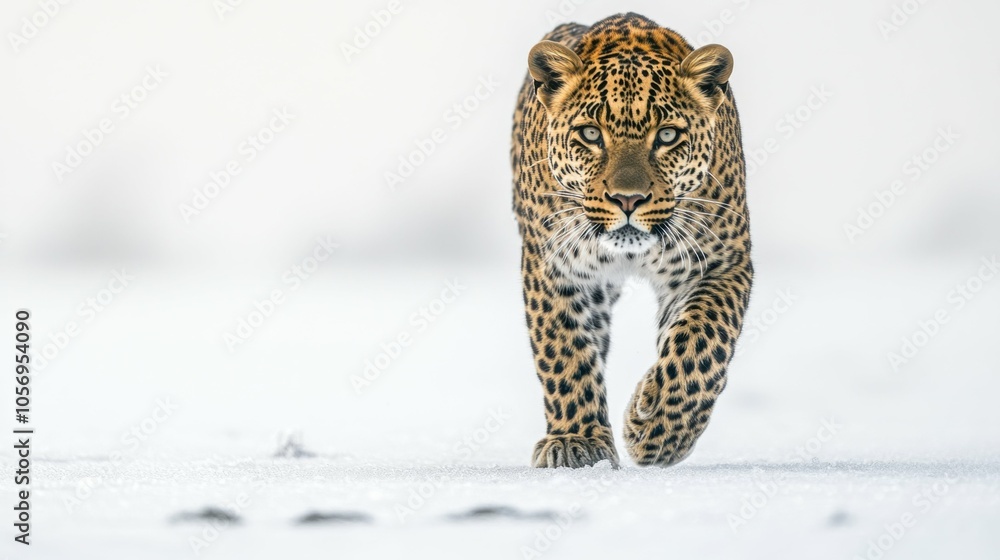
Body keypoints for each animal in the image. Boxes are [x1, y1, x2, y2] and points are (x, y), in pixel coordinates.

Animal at [510, 13, 753, 468]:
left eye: (667, 136)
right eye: (590, 134)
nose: (628, 199)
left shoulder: (721, 263)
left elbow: (702, 342)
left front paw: (659, 430)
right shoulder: (554, 266)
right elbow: (564, 351)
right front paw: (577, 440)